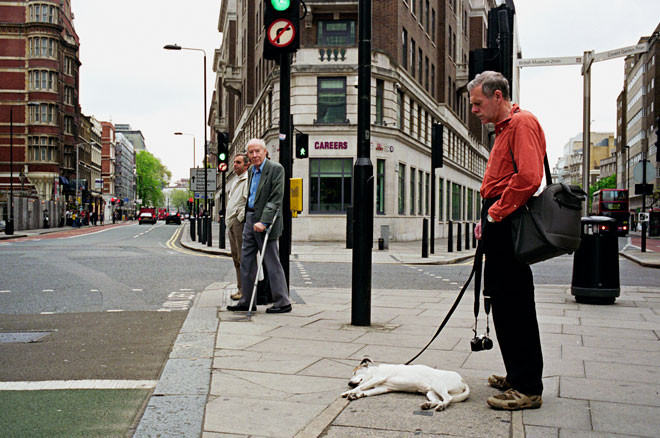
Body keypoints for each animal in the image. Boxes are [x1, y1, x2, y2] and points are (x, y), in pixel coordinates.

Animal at [340, 360, 470, 410]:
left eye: (355, 373)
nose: (349, 383)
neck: (375, 371)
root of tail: (463, 380)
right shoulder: (382, 388)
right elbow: (366, 391)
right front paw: (356, 395)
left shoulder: (378, 378)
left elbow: (361, 386)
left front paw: (349, 392)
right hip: (431, 392)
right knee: (438, 400)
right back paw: (428, 405)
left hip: (438, 385)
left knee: (448, 398)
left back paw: (442, 406)